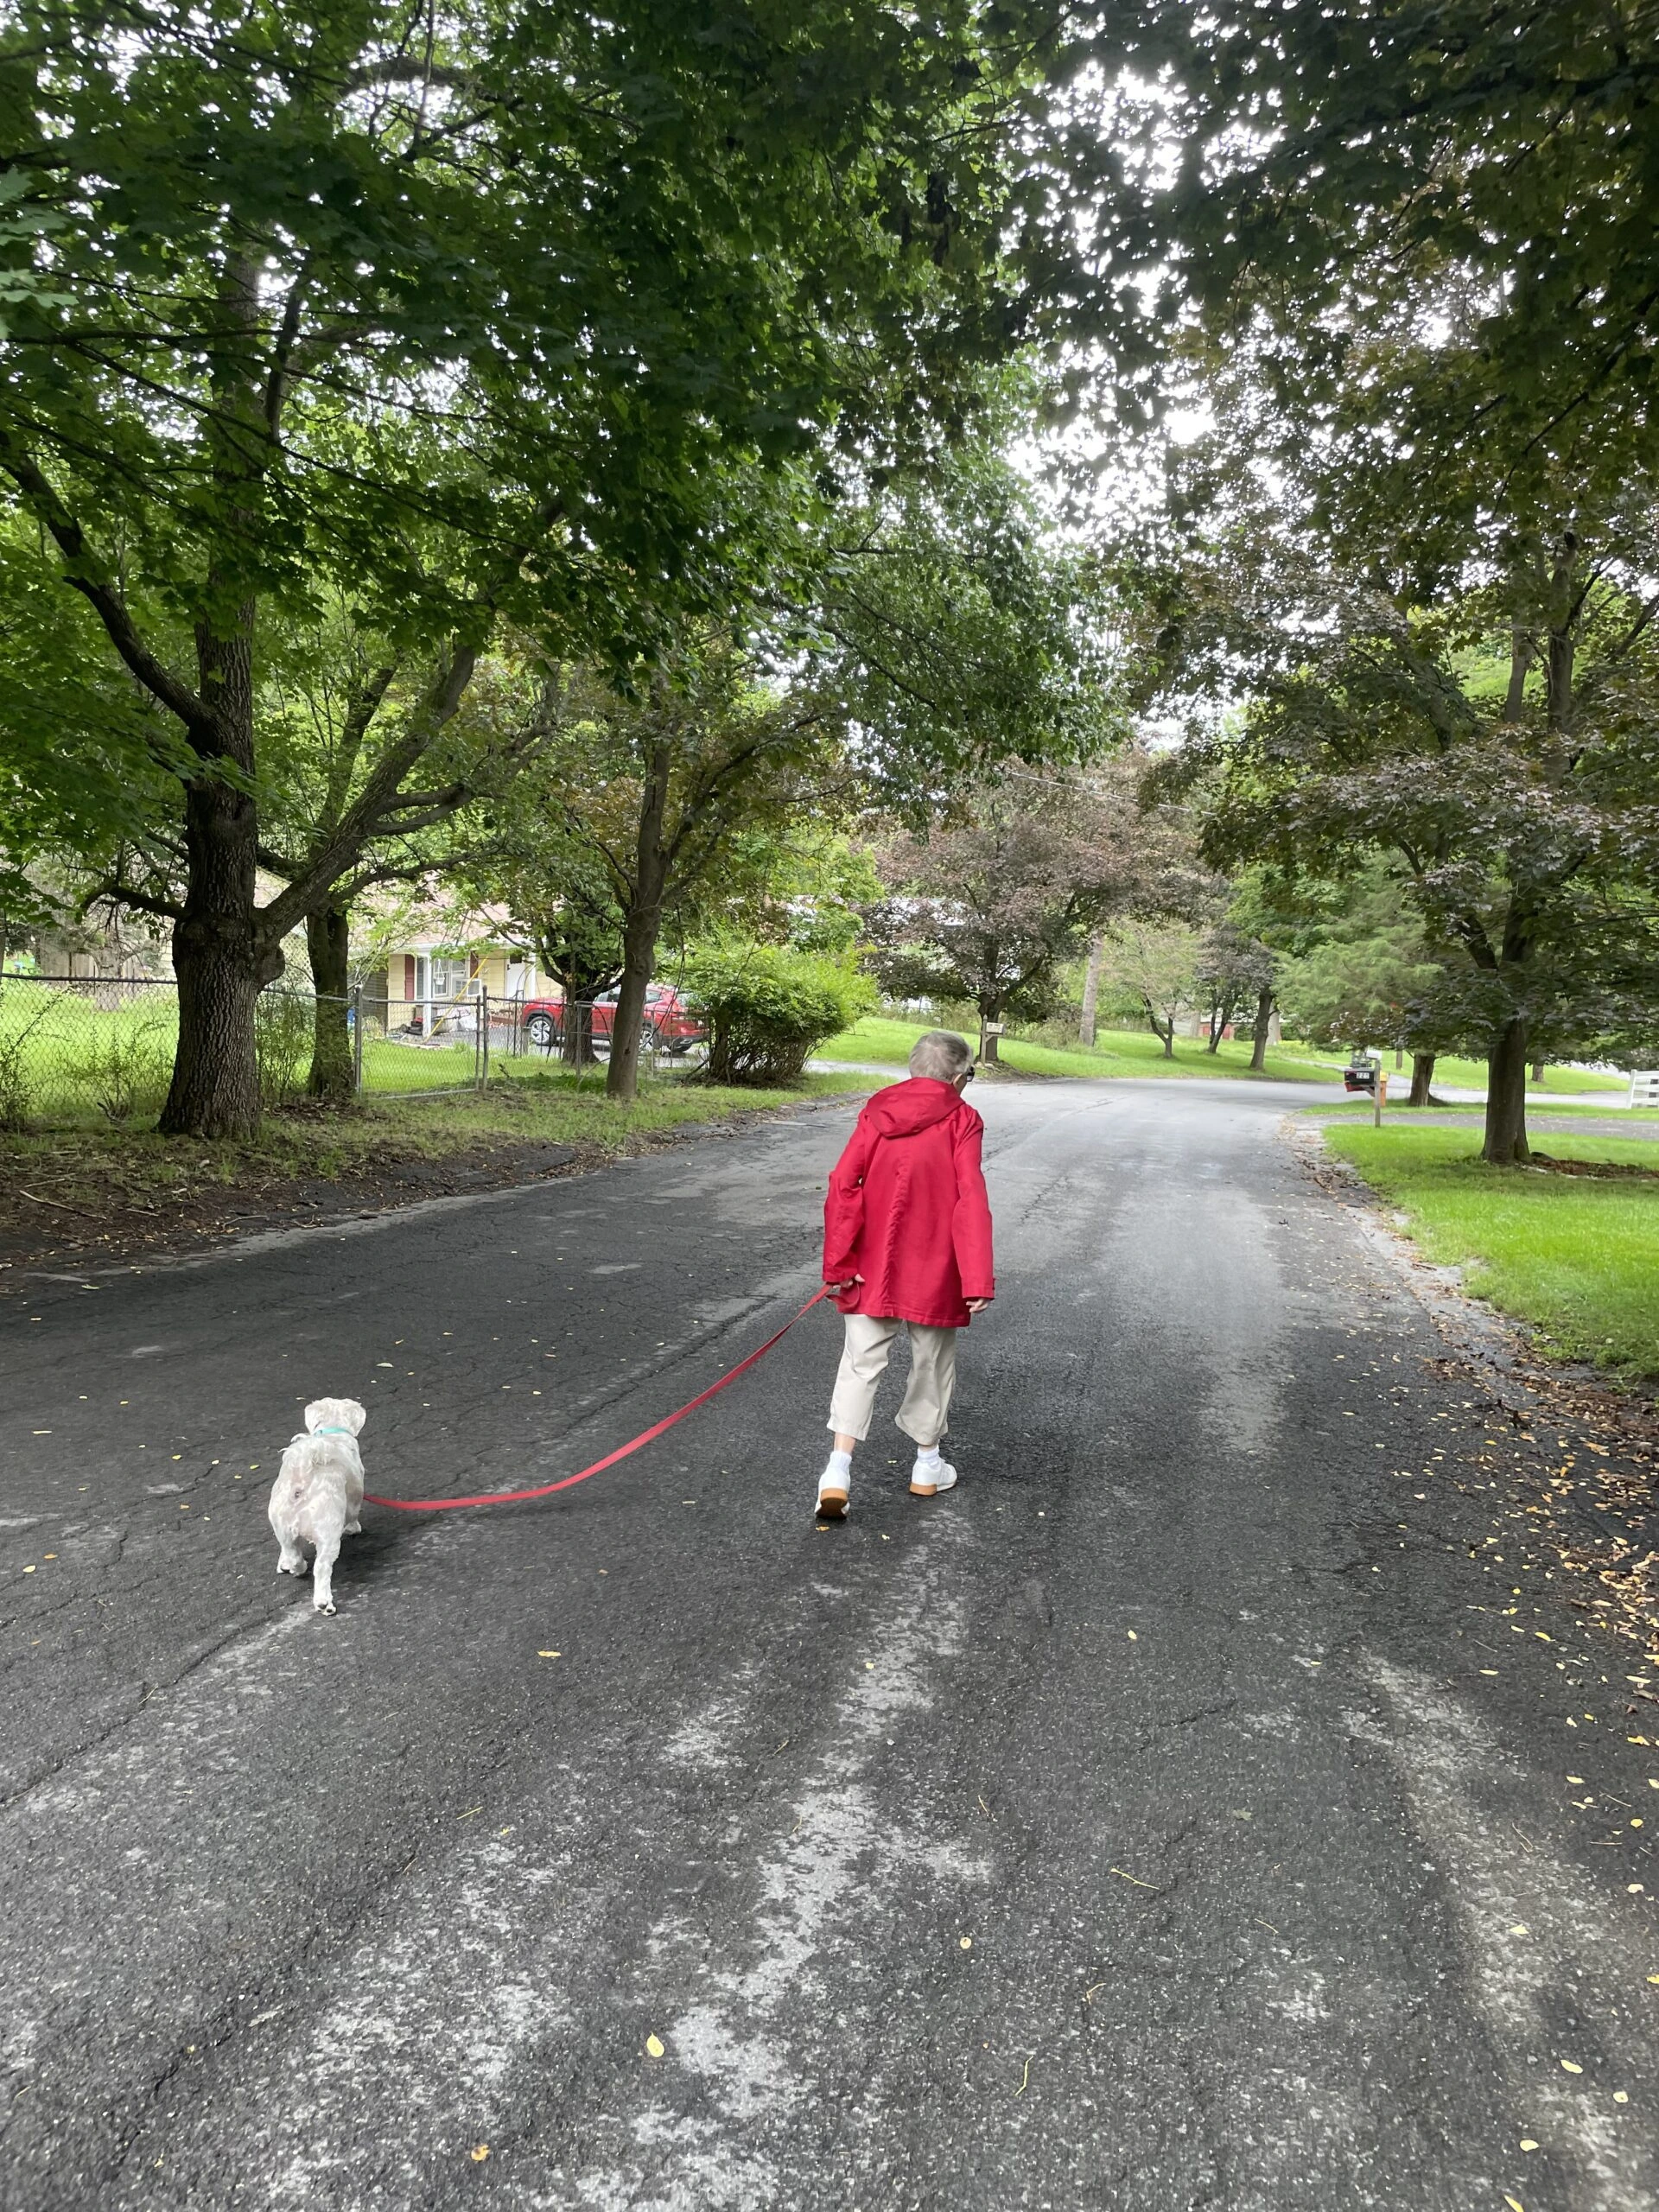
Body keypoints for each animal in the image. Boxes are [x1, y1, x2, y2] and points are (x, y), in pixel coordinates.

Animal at [267, 1407, 365, 1618]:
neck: (331, 1431)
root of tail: (301, 1481)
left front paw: (283, 1564)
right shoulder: (355, 1496)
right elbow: (353, 1517)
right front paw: (353, 1528)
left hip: (281, 1522)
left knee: (291, 1551)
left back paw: (296, 1567)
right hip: (328, 1532)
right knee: (321, 1567)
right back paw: (323, 1603)